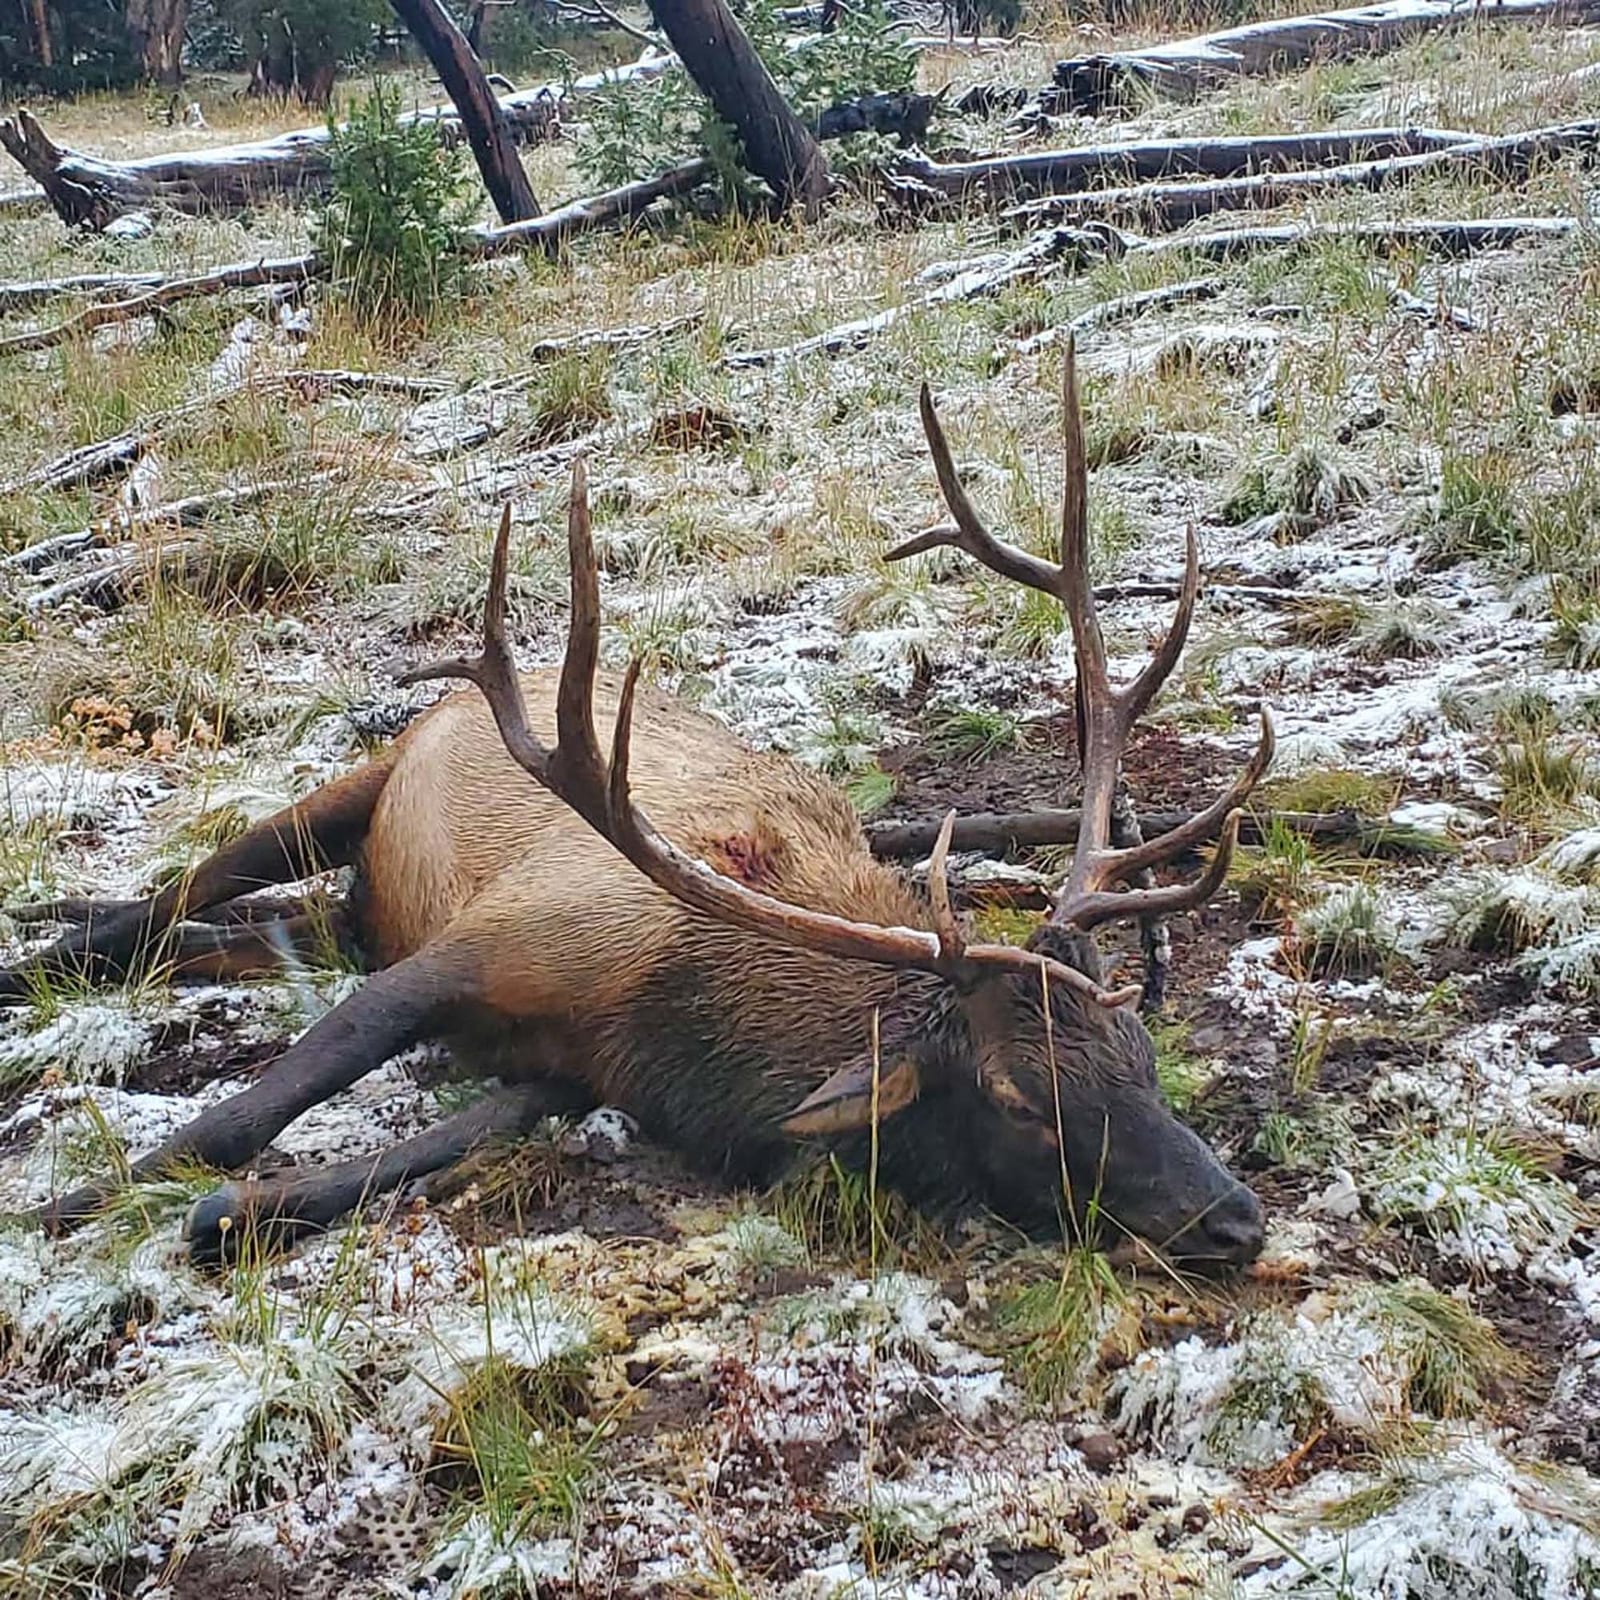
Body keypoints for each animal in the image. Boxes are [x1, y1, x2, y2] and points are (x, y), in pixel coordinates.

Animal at [4, 343, 1273, 1269]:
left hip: (352, 909)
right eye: (1019, 1098)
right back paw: (49, 941)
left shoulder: (566, 1071)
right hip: (360, 784)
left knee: (233, 932)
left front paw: (233, 1210)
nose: (1235, 1216)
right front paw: (67, 1202)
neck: (676, 1025)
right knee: (181, 895)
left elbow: (323, 1179)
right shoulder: (486, 940)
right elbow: (237, 1117)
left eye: (1139, 1051)